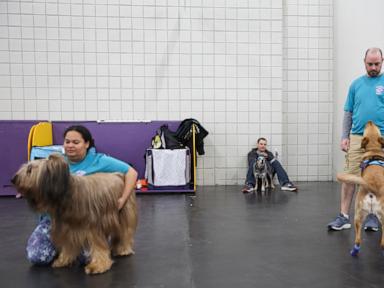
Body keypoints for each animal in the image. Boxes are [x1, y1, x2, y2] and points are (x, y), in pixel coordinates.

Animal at [338, 120, 384, 255]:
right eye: (368, 126)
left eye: (375, 126)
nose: (369, 121)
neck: (374, 150)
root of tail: (372, 187)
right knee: (382, 241)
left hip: (358, 215)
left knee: (358, 240)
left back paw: (354, 251)